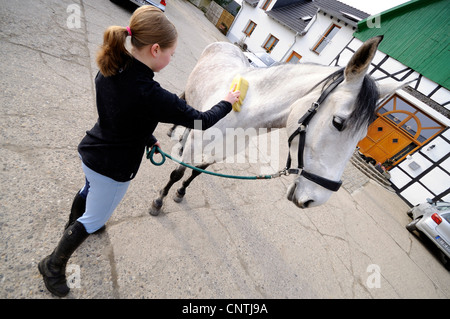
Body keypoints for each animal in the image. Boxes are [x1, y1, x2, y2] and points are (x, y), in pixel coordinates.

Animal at [151, 35, 404, 215]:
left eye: (362, 135)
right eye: (338, 122)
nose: (315, 199)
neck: (242, 111)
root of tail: (224, 44)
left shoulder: (221, 153)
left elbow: (196, 172)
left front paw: (181, 192)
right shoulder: (198, 143)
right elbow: (177, 172)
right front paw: (159, 201)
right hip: (190, 93)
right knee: (184, 102)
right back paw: (173, 132)